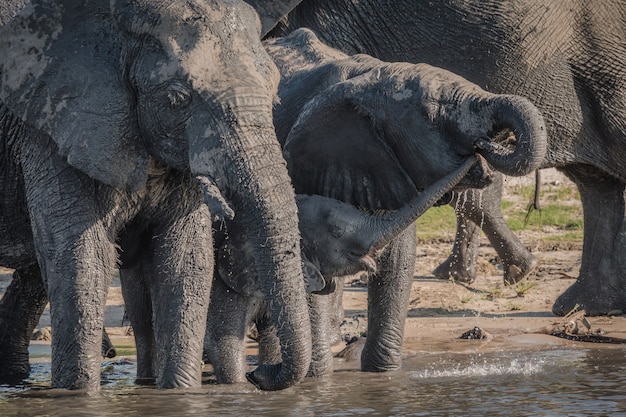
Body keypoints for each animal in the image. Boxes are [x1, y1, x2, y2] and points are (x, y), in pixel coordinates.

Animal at [0, 0, 310, 390]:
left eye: (274, 91)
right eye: (177, 99)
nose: (261, 375)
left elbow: (184, 259)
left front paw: (179, 392)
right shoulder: (52, 124)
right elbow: (83, 257)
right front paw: (77, 395)